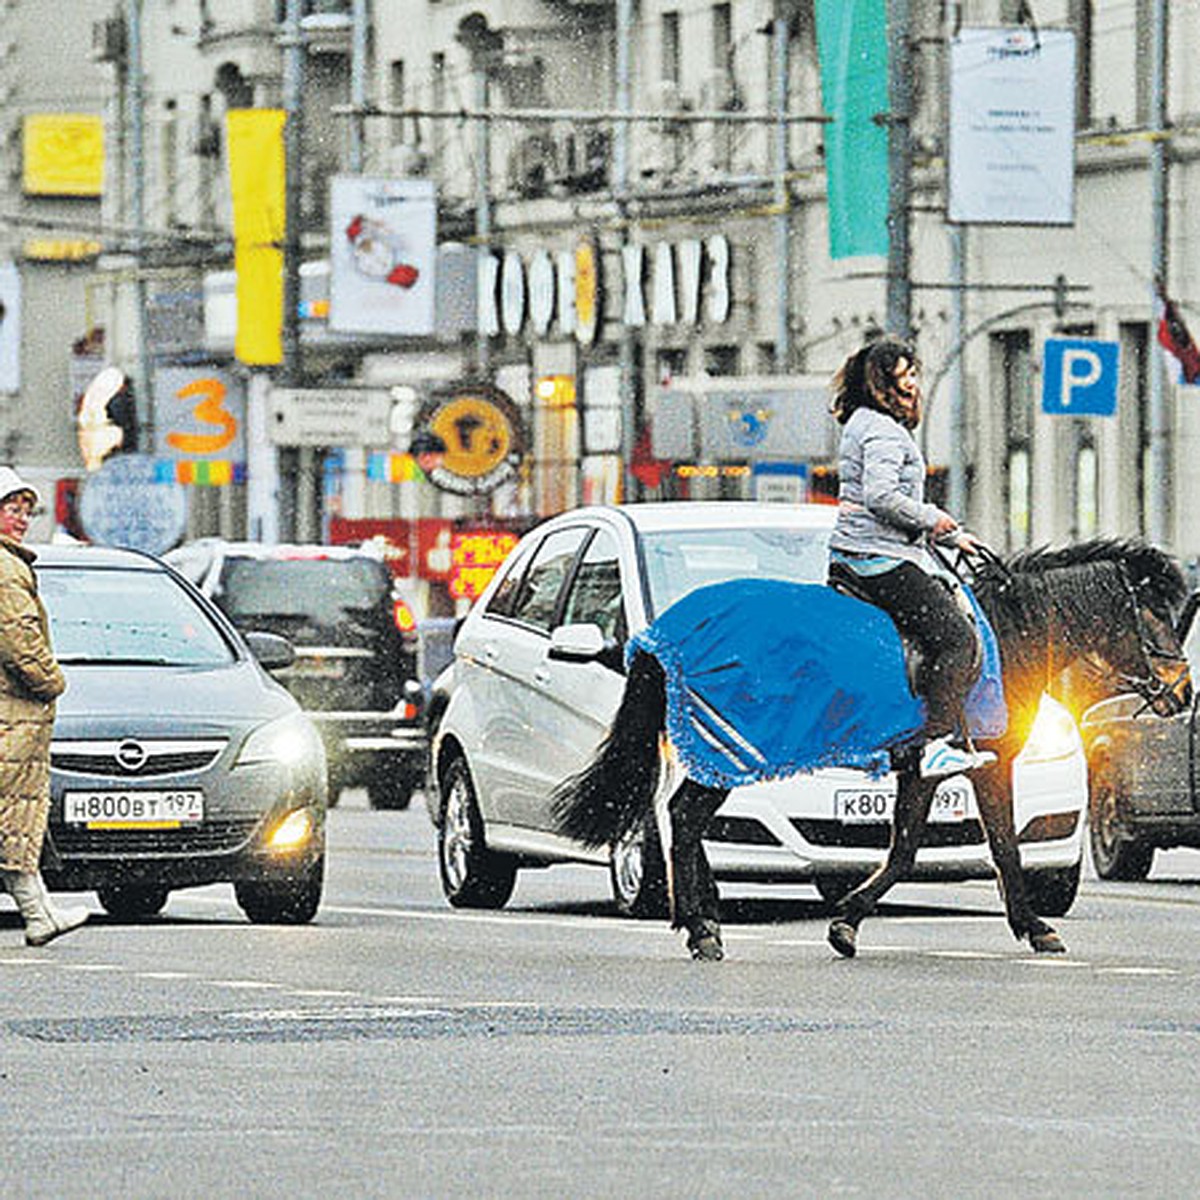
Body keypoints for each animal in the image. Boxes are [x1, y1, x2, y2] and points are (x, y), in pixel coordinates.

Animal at [552, 540, 1190, 960]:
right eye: (1156, 614)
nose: (1183, 692)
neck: (1005, 634)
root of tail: (670, 631)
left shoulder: (919, 770)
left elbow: (905, 846)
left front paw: (847, 921)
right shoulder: (984, 761)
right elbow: (1002, 849)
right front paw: (1036, 928)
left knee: (681, 818)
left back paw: (700, 919)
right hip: (731, 746)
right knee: (683, 818)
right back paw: (702, 927)